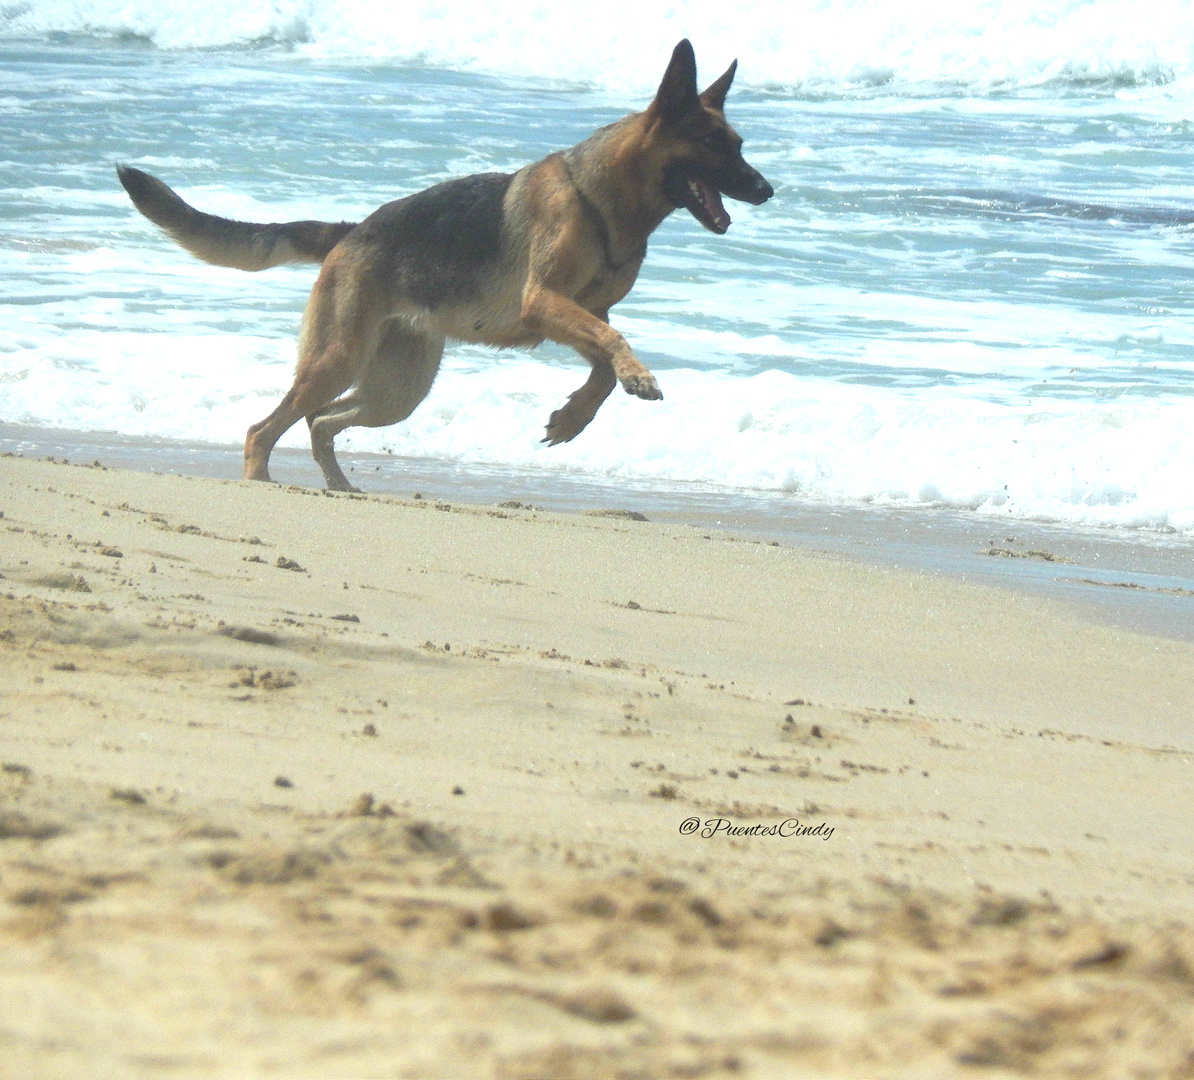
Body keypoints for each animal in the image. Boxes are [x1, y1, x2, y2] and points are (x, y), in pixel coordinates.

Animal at [118, 39, 773, 491]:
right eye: (714, 146)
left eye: (739, 146)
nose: (768, 191)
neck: (605, 199)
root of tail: (352, 231)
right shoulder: (547, 303)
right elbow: (615, 345)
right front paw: (629, 381)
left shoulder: (576, 313)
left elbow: (604, 367)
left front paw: (572, 418)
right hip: (337, 360)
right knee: (267, 427)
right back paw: (260, 484)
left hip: (396, 391)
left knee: (320, 422)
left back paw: (339, 486)